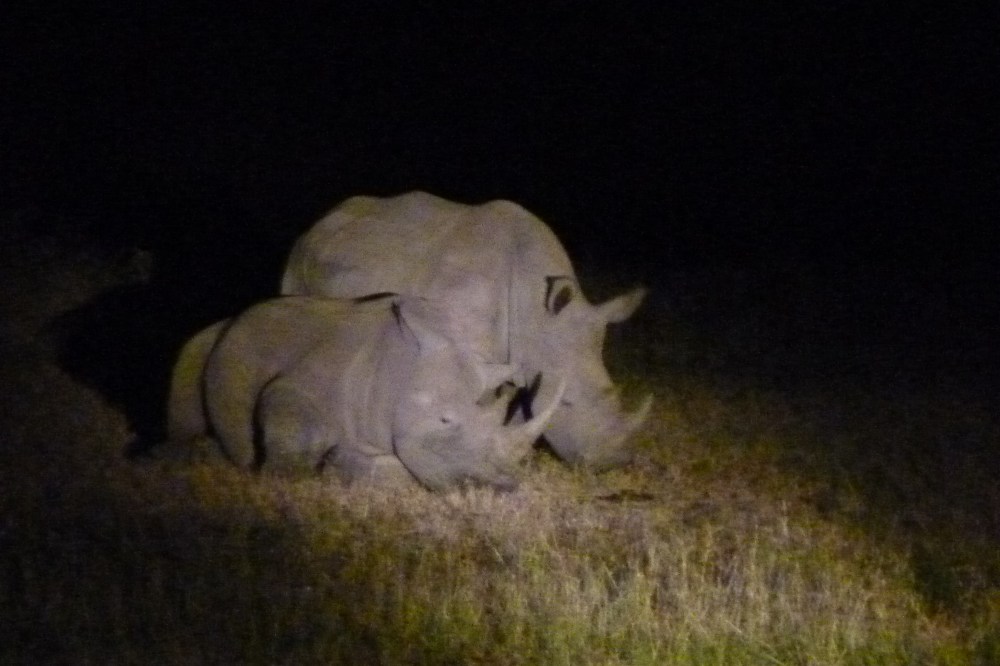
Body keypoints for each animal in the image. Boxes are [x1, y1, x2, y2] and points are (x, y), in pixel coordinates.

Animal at [167, 294, 563, 490]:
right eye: (444, 420)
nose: (503, 487)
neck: (399, 369)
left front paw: (344, 464)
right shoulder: (300, 385)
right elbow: (297, 426)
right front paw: (288, 476)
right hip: (207, 343)